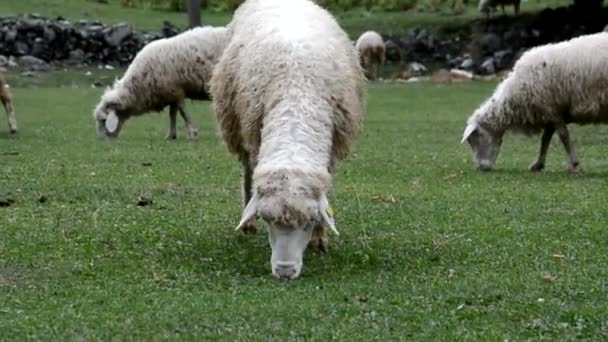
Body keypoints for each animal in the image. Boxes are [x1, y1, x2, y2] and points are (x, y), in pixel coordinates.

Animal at [92, 25, 228, 140]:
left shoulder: (177, 91)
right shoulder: (171, 94)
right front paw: (171, 135)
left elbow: (182, 113)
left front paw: (192, 133)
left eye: (103, 120)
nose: (101, 140)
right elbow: (172, 114)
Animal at [210, 0, 366, 280]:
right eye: (267, 220)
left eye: (311, 220)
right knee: (247, 171)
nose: (284, 271)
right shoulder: (254, 134)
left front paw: (319, 240)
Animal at [460, 33, 608, 174]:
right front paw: (538, 164)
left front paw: (574, 164)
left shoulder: (552, 109)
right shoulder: (548, 114)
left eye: (475, 138)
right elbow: (545, 140)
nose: (481, 167)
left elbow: (563, 136)